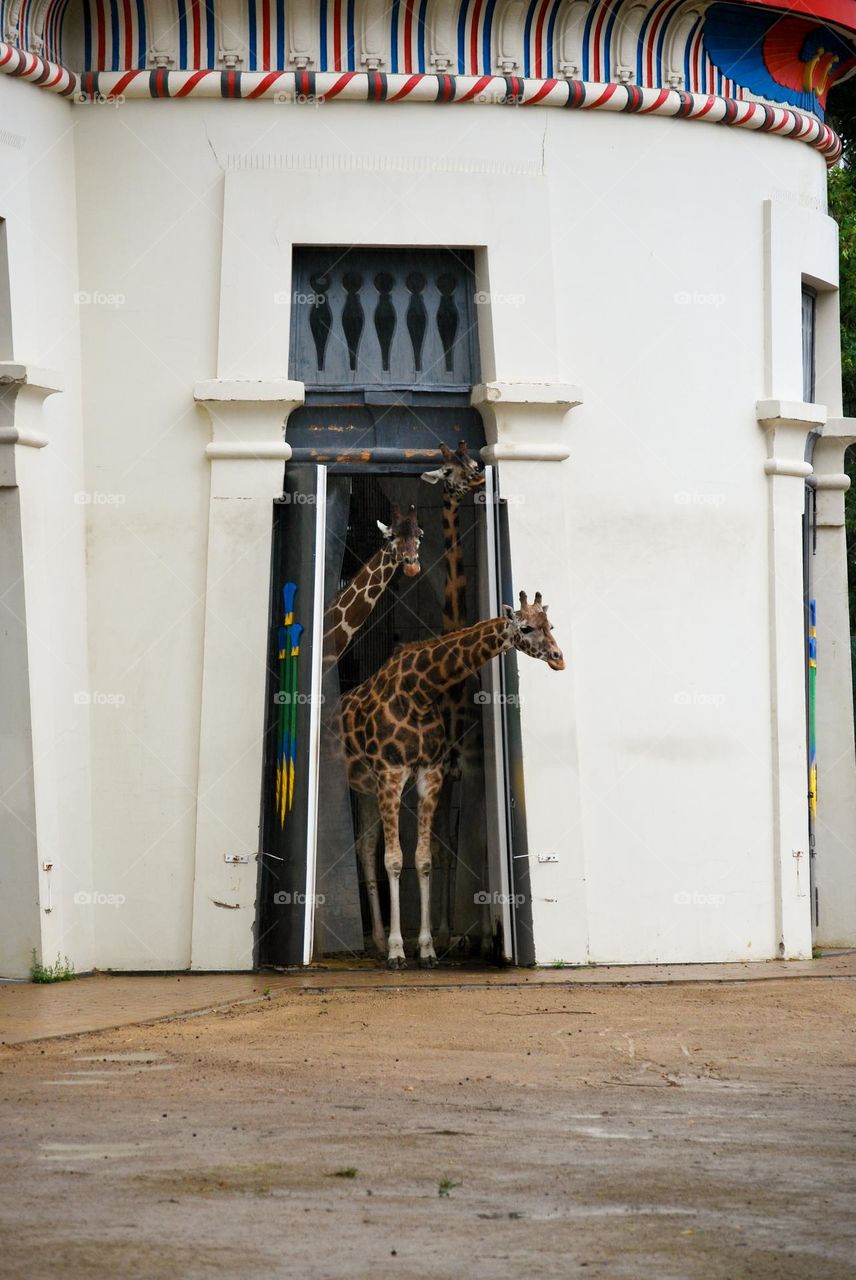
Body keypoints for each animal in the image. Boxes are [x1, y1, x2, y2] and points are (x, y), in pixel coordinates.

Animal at [342, 591, 564, 967]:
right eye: (526, 627)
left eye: (551, 625)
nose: (559, 659)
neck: (420, 690)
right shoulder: (392, 774)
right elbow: (395, 860)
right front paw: (398, 951)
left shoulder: (430, 774)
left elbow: (426, 858)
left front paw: (428, 948)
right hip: (361, 787)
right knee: (368, 850)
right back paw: (380, 942)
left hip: (370, 790)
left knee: (368, 847)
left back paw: (380, 940)